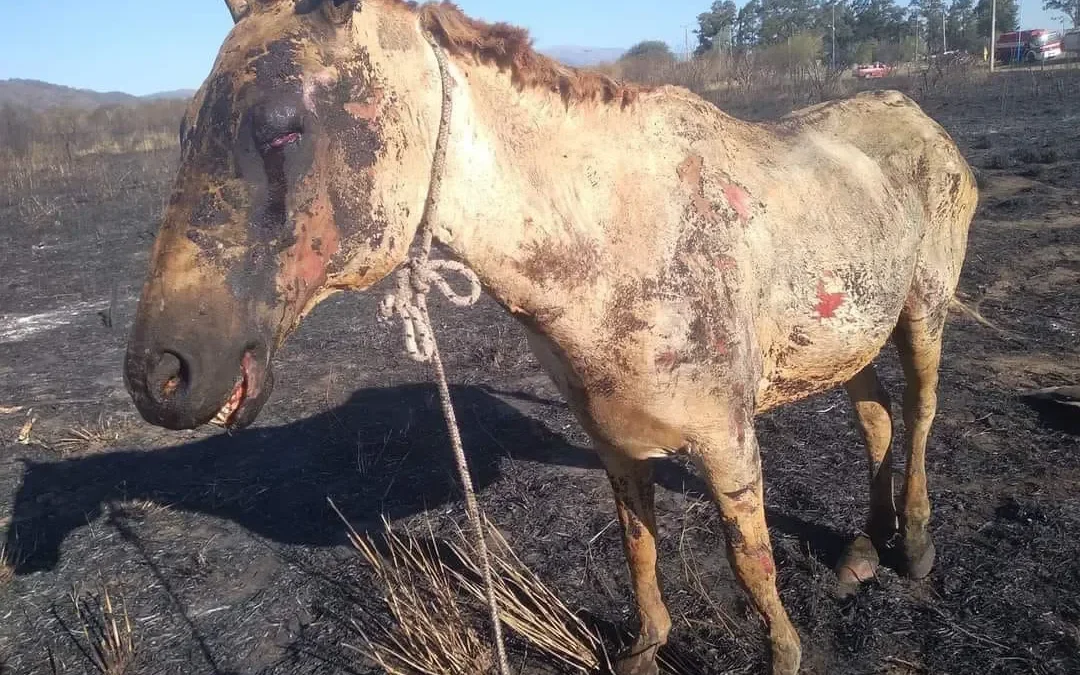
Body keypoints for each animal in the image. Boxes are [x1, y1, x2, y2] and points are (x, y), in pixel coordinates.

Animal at [123, 1, 978, 673]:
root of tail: (918, 115)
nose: (160, 374)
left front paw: (784, 652)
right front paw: (647, 645)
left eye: (283, 129)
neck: (615, 235)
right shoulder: (614, 437)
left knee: (922, 414)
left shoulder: (727, 441)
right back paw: (864, 546)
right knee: (875, 416)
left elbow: (751, 561)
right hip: (846, 334)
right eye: (185, 127)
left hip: (921, 313)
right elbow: (639, 545)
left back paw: (914, 544)